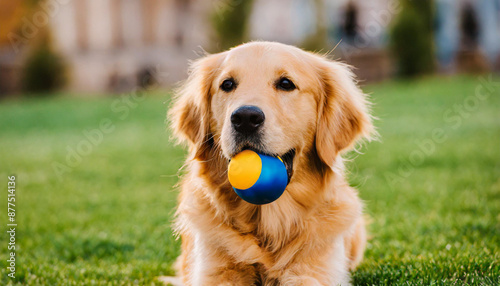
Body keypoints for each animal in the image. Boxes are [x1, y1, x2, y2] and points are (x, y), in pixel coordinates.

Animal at [167, 41, 372, 284]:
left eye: (286, 84)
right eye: (227, 84)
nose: (245, 118)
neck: (269, 222)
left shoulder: (314, 269)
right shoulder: (215, 270)